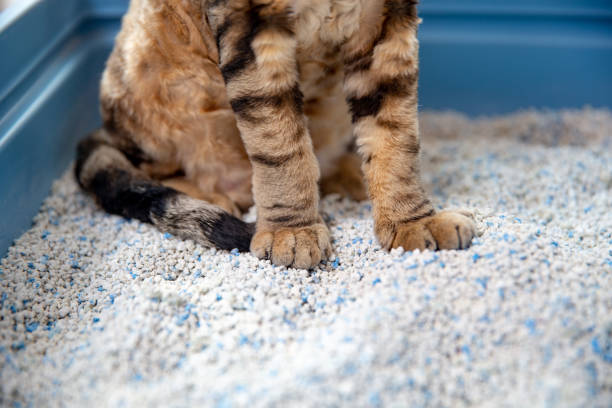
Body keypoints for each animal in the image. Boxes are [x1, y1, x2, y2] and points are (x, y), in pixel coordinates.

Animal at [74, 0, 476, 270]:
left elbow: (395, 137)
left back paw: (353, 179)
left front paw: (412, 221)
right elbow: (280, 143)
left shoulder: (384, 23)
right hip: (154, 72)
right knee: (154, 168)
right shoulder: (251, 29)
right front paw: (291, 232)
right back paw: (216, 198)